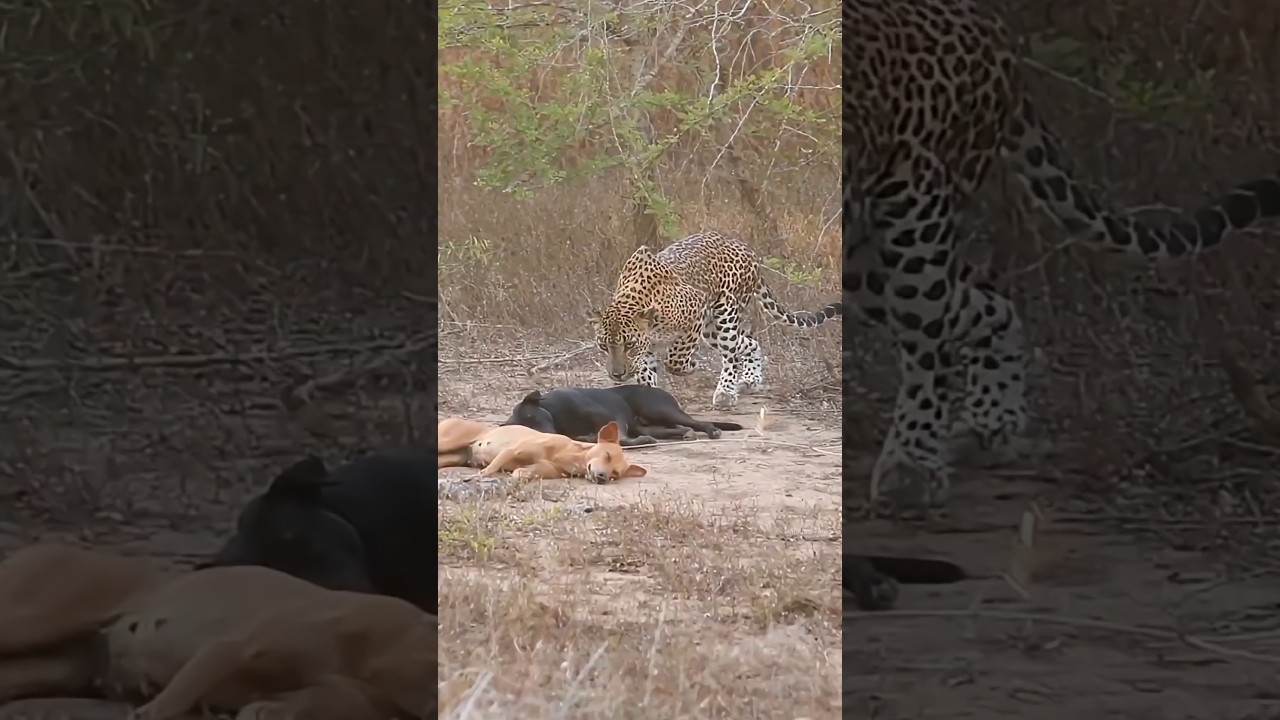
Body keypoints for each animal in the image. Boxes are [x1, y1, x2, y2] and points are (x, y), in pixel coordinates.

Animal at [595, 230, 842, 409]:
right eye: (603, 346)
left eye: (629, 345)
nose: (616, 374)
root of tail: (746, 248)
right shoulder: (649, 344)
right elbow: (646, 374)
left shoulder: (696, 311)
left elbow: (676, 359)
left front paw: (690, 366)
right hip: (712, 331)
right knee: (750, 342)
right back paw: (751, 379)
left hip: (725, 315)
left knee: (731, 356)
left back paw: (725, 393)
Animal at [844, 0, 1280, 508]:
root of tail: (983, 18)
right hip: (865, 258)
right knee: (984, 301)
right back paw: (994, 417)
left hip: (918, 213)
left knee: (929, 344)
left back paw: (913, 466)